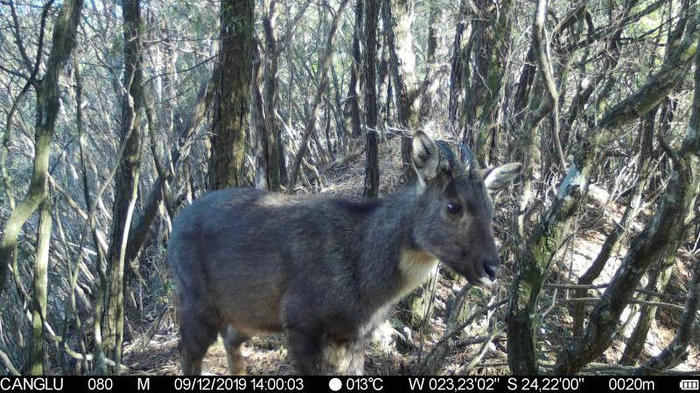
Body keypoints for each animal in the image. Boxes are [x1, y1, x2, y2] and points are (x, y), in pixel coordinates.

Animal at [168, 132, 520, 374]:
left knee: (230, 343)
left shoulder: (355, 337)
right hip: (197, 301)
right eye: (453, 206)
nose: (491, 269)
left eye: (490, 208)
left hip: (244, 313)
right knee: (189, 353)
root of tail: (173, 228)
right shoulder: (300, 322)